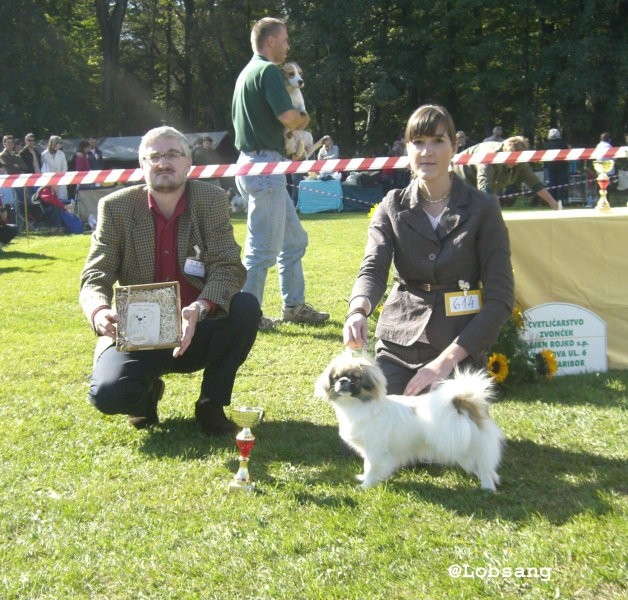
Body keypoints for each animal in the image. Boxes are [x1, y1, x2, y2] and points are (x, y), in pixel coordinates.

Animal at [316, 354, 502, 490]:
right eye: (336, 378)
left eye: (355, 379)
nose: (343, 381)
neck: (356, 406)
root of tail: (465, 405)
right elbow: (367, 466)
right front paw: (363, 478)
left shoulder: (375, 450)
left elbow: (370, 467)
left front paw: (365, 485)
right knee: (487, 467)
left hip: (467, 451)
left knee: (484, 467)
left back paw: (487, 487)